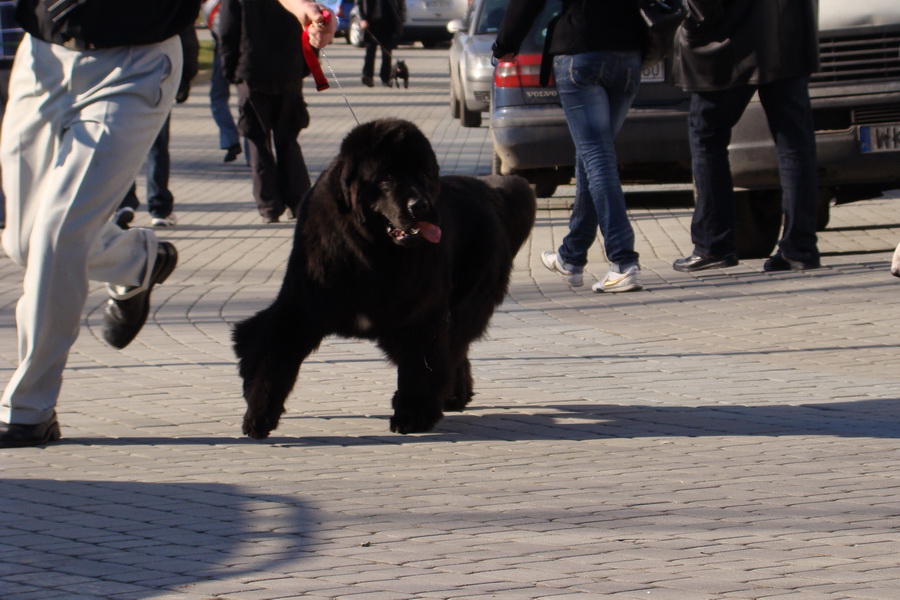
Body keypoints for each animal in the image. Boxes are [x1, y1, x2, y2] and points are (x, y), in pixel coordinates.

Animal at [236, 117, 536, 438]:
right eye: (387, 177)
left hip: (464, 303)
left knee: (453, 347)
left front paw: (413, 416)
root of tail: (492, 192)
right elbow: (274, 360)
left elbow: (421, 364)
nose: (421, 205)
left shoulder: (422, 314)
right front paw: (259, 415)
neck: (369, 254)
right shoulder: (301, 307)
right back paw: (455, 395)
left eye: (423, 175)